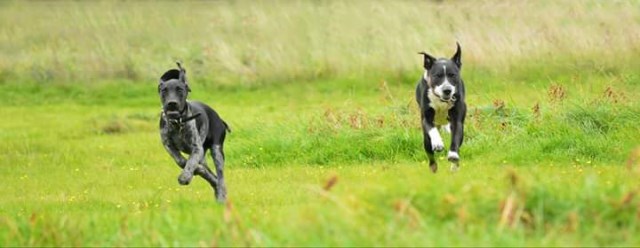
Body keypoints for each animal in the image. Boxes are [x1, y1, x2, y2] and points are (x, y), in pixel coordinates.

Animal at [158, 61, 230, 202]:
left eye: (180, 89)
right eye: (164, 91)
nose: (172, 103)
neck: (178, 123)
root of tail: (220, 119)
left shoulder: (196, 148)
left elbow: (191, 162)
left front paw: (185, 176)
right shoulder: (167, 145)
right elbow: (181, 161)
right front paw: (196, 171)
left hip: (217, 151)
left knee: (220, 177)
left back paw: (220, 194)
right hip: (204, 155)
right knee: (212, 176)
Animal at [418, 43, 468, 172]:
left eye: (452, 75)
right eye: (437, 76)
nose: (447, 90)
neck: (441, 100)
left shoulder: (457, 120)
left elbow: (456, 137)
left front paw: (453, 155)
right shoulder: (426, 118)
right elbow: (432, 129)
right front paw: (437, 143)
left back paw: (454, 166)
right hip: (426, 139)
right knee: (429, 151)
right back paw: (433, 167)